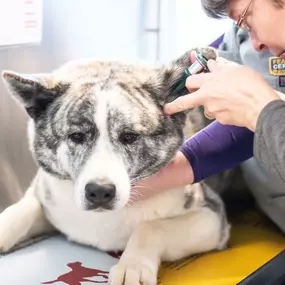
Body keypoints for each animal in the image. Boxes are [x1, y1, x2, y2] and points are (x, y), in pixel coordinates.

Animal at [0, 47, 230, 284]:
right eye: (76, 136)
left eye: (129, 136)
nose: (100, 191)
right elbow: (22, 209)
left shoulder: (212, 217)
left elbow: (150, 227)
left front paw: (132, 266)